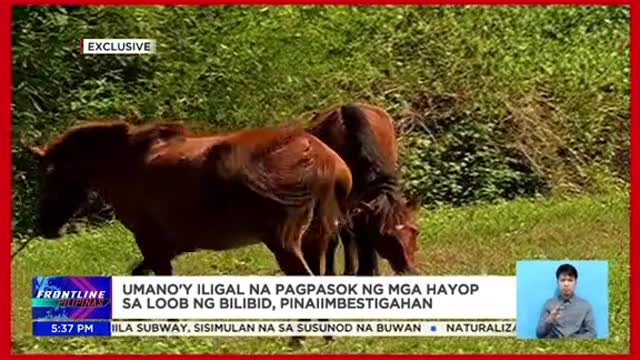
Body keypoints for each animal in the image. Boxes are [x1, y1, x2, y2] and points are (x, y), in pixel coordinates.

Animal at [27, 119, 352, 278]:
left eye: (49, 178)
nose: (45, 226)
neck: (126, 162)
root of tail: (322, 157)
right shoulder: (171, 245)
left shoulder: (152, 243)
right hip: (318, 236)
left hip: (285, 242)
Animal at [304, 102, 420, 278]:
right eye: (386, 236)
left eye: (414, 232)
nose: (410, 272)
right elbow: (345, 233)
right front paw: (353, 270)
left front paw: (369, 270)